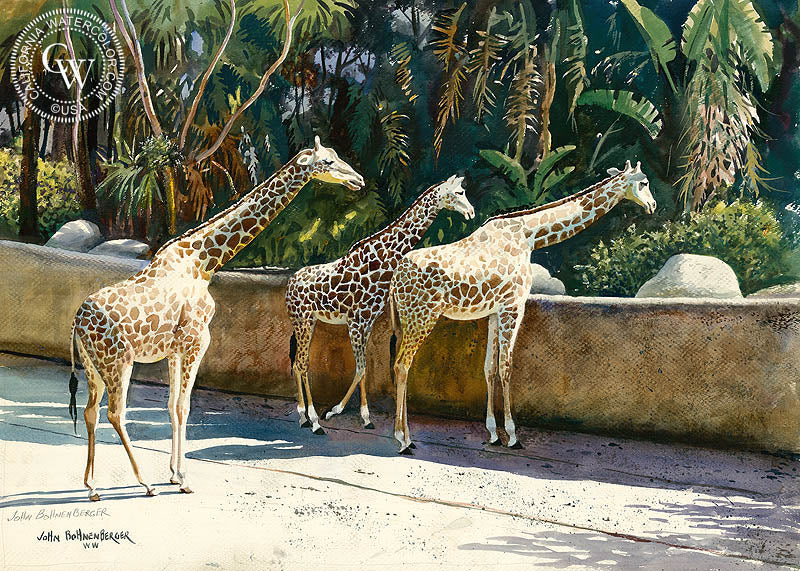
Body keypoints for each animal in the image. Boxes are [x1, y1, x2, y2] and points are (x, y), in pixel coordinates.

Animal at [67, 136, 364, 500]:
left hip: (92, 364)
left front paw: (172, 473)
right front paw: (183, 479)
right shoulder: (197, 340)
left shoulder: (176, 348)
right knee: (115, 413)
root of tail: (77, 323)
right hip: (118, 362)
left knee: (90, 412)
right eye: (327, 162)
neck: (203, 261)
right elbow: (184, 407)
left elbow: (172, 406)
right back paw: (144, 483)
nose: (358, 180)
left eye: (336, 156)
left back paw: (92, 485)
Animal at [285, 175, 475, 433]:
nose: (471, 212)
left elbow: (363, 370)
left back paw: (304, 416)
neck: (382, 260)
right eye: (459, 192)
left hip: (309, 320)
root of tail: (290, 283)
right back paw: (312, 420)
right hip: (302, 319)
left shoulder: (367, 322)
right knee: (302, 364)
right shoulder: (356, 321)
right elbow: (361, 368)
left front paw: (364, 417)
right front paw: (335, 411)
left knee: (298, 363)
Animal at [389, 161, 656, 453]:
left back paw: (406, 436)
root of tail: (394, 279)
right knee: (402, 365)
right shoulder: (514, 305)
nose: (652, 205)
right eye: (643, 182)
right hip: (422, 316)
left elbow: (489, 367)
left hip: (405, 319)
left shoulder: (495, 311)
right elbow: (506, 366)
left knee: (399, 364)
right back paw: (403, 439)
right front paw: (513, 435)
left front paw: (493, 433)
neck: (529, 235)